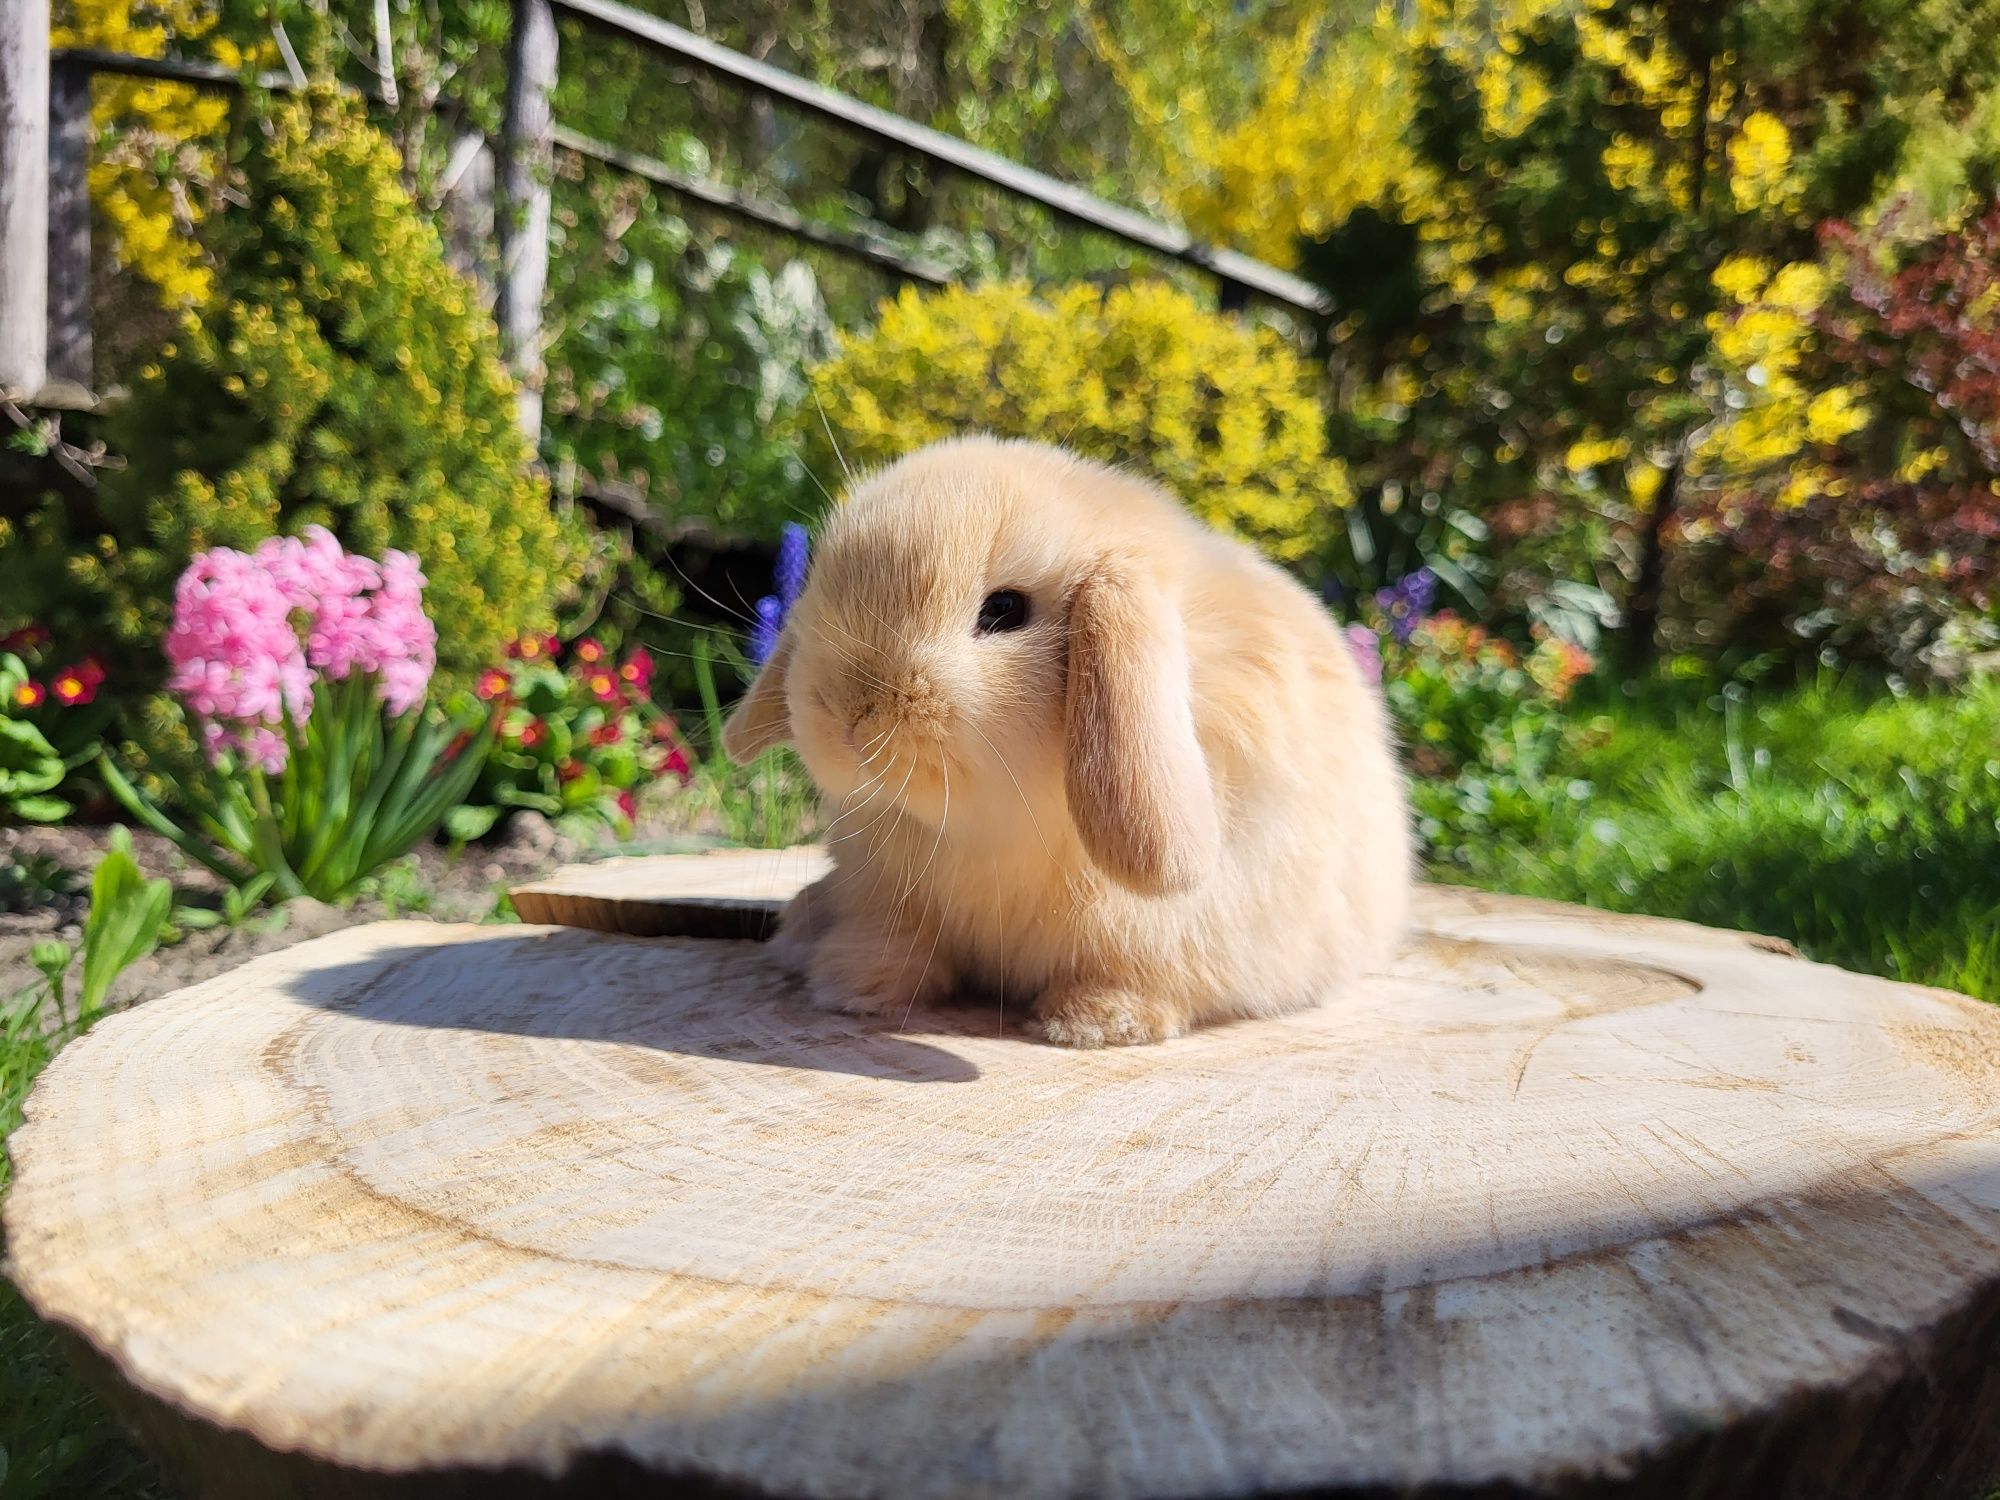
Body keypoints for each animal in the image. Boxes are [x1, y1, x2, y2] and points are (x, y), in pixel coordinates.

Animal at [728, 434, 1416, 1048]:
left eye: (1004, 610)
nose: (847, 710)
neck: (995, 830)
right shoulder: (887, 895)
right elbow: (893, 941)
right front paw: (851, 983)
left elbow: (1144, 974)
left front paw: (1099, 1021)